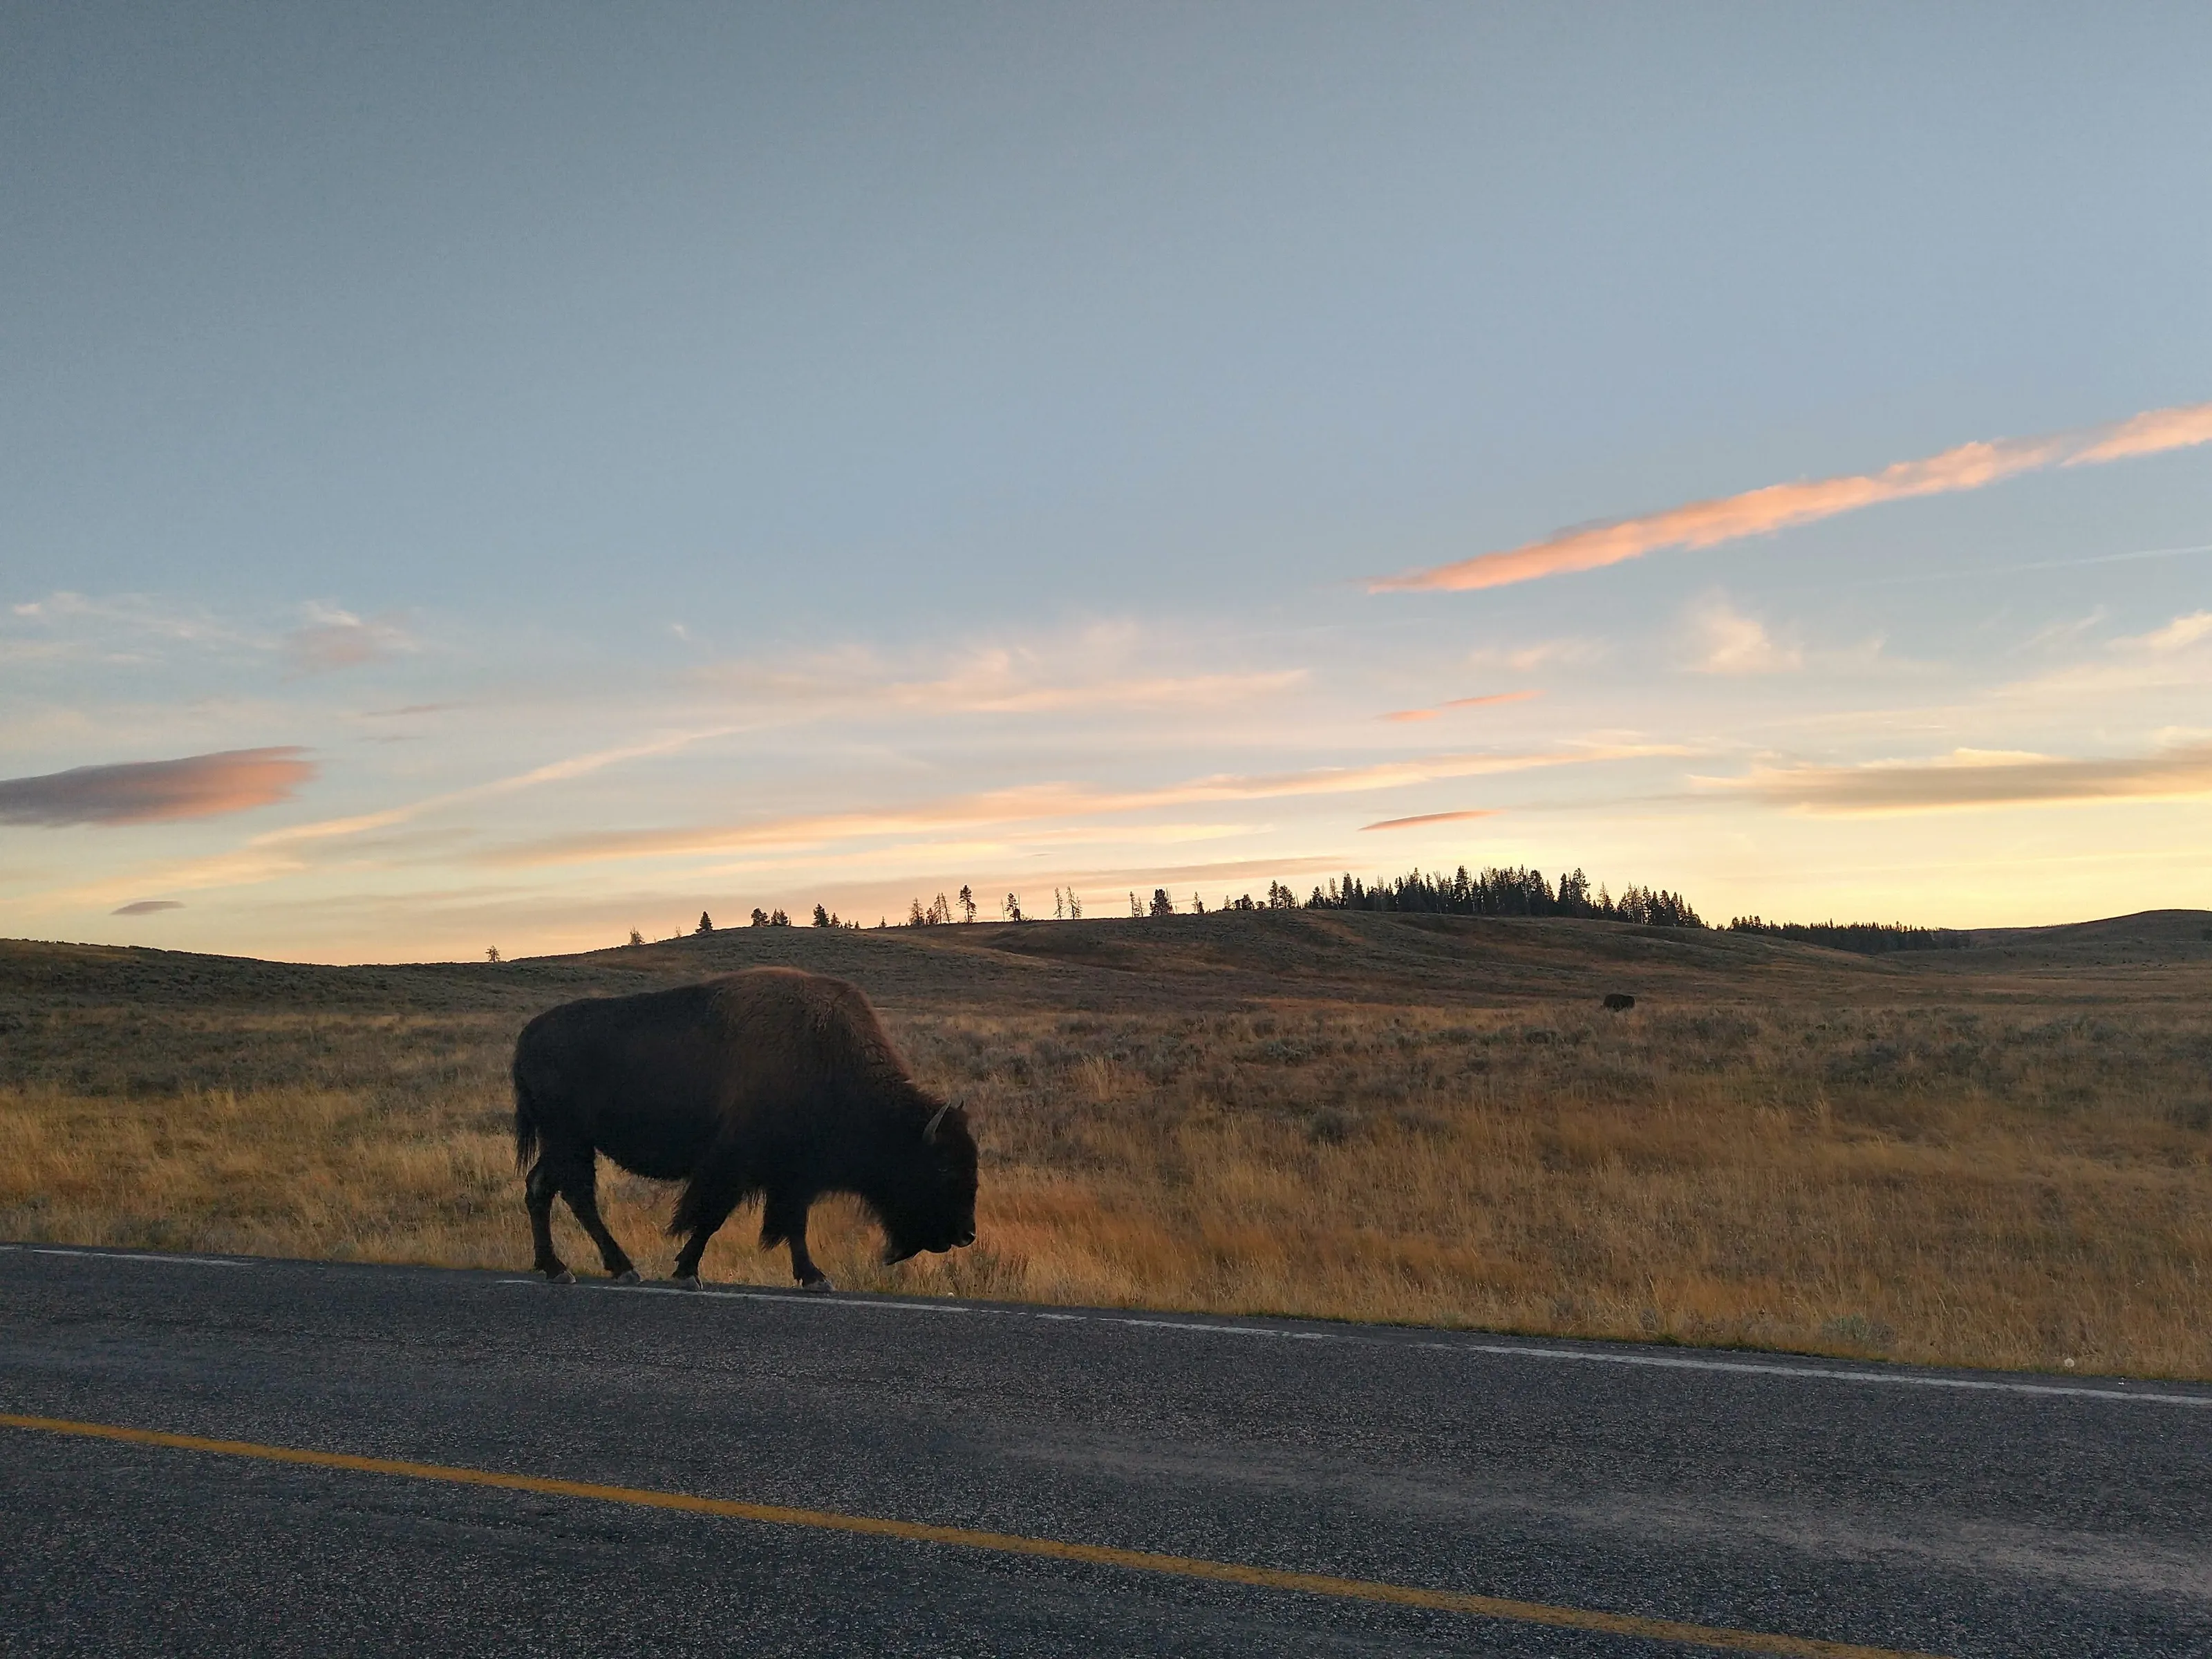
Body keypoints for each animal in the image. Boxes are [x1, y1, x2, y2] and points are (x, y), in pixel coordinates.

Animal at [511, 967, 977, 1290]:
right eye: (942, 1168)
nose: (966, 1234)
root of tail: (527, 1037)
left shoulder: (794, 1177)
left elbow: (793, 1225)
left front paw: (814, 1277)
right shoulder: (736, 1168)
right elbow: (712, 1217)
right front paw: (688, 1273)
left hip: (564, 1143)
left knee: (541, 1188)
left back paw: (557, 1268)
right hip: (570, 1140)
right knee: (577, 1195)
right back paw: (621, 1269)